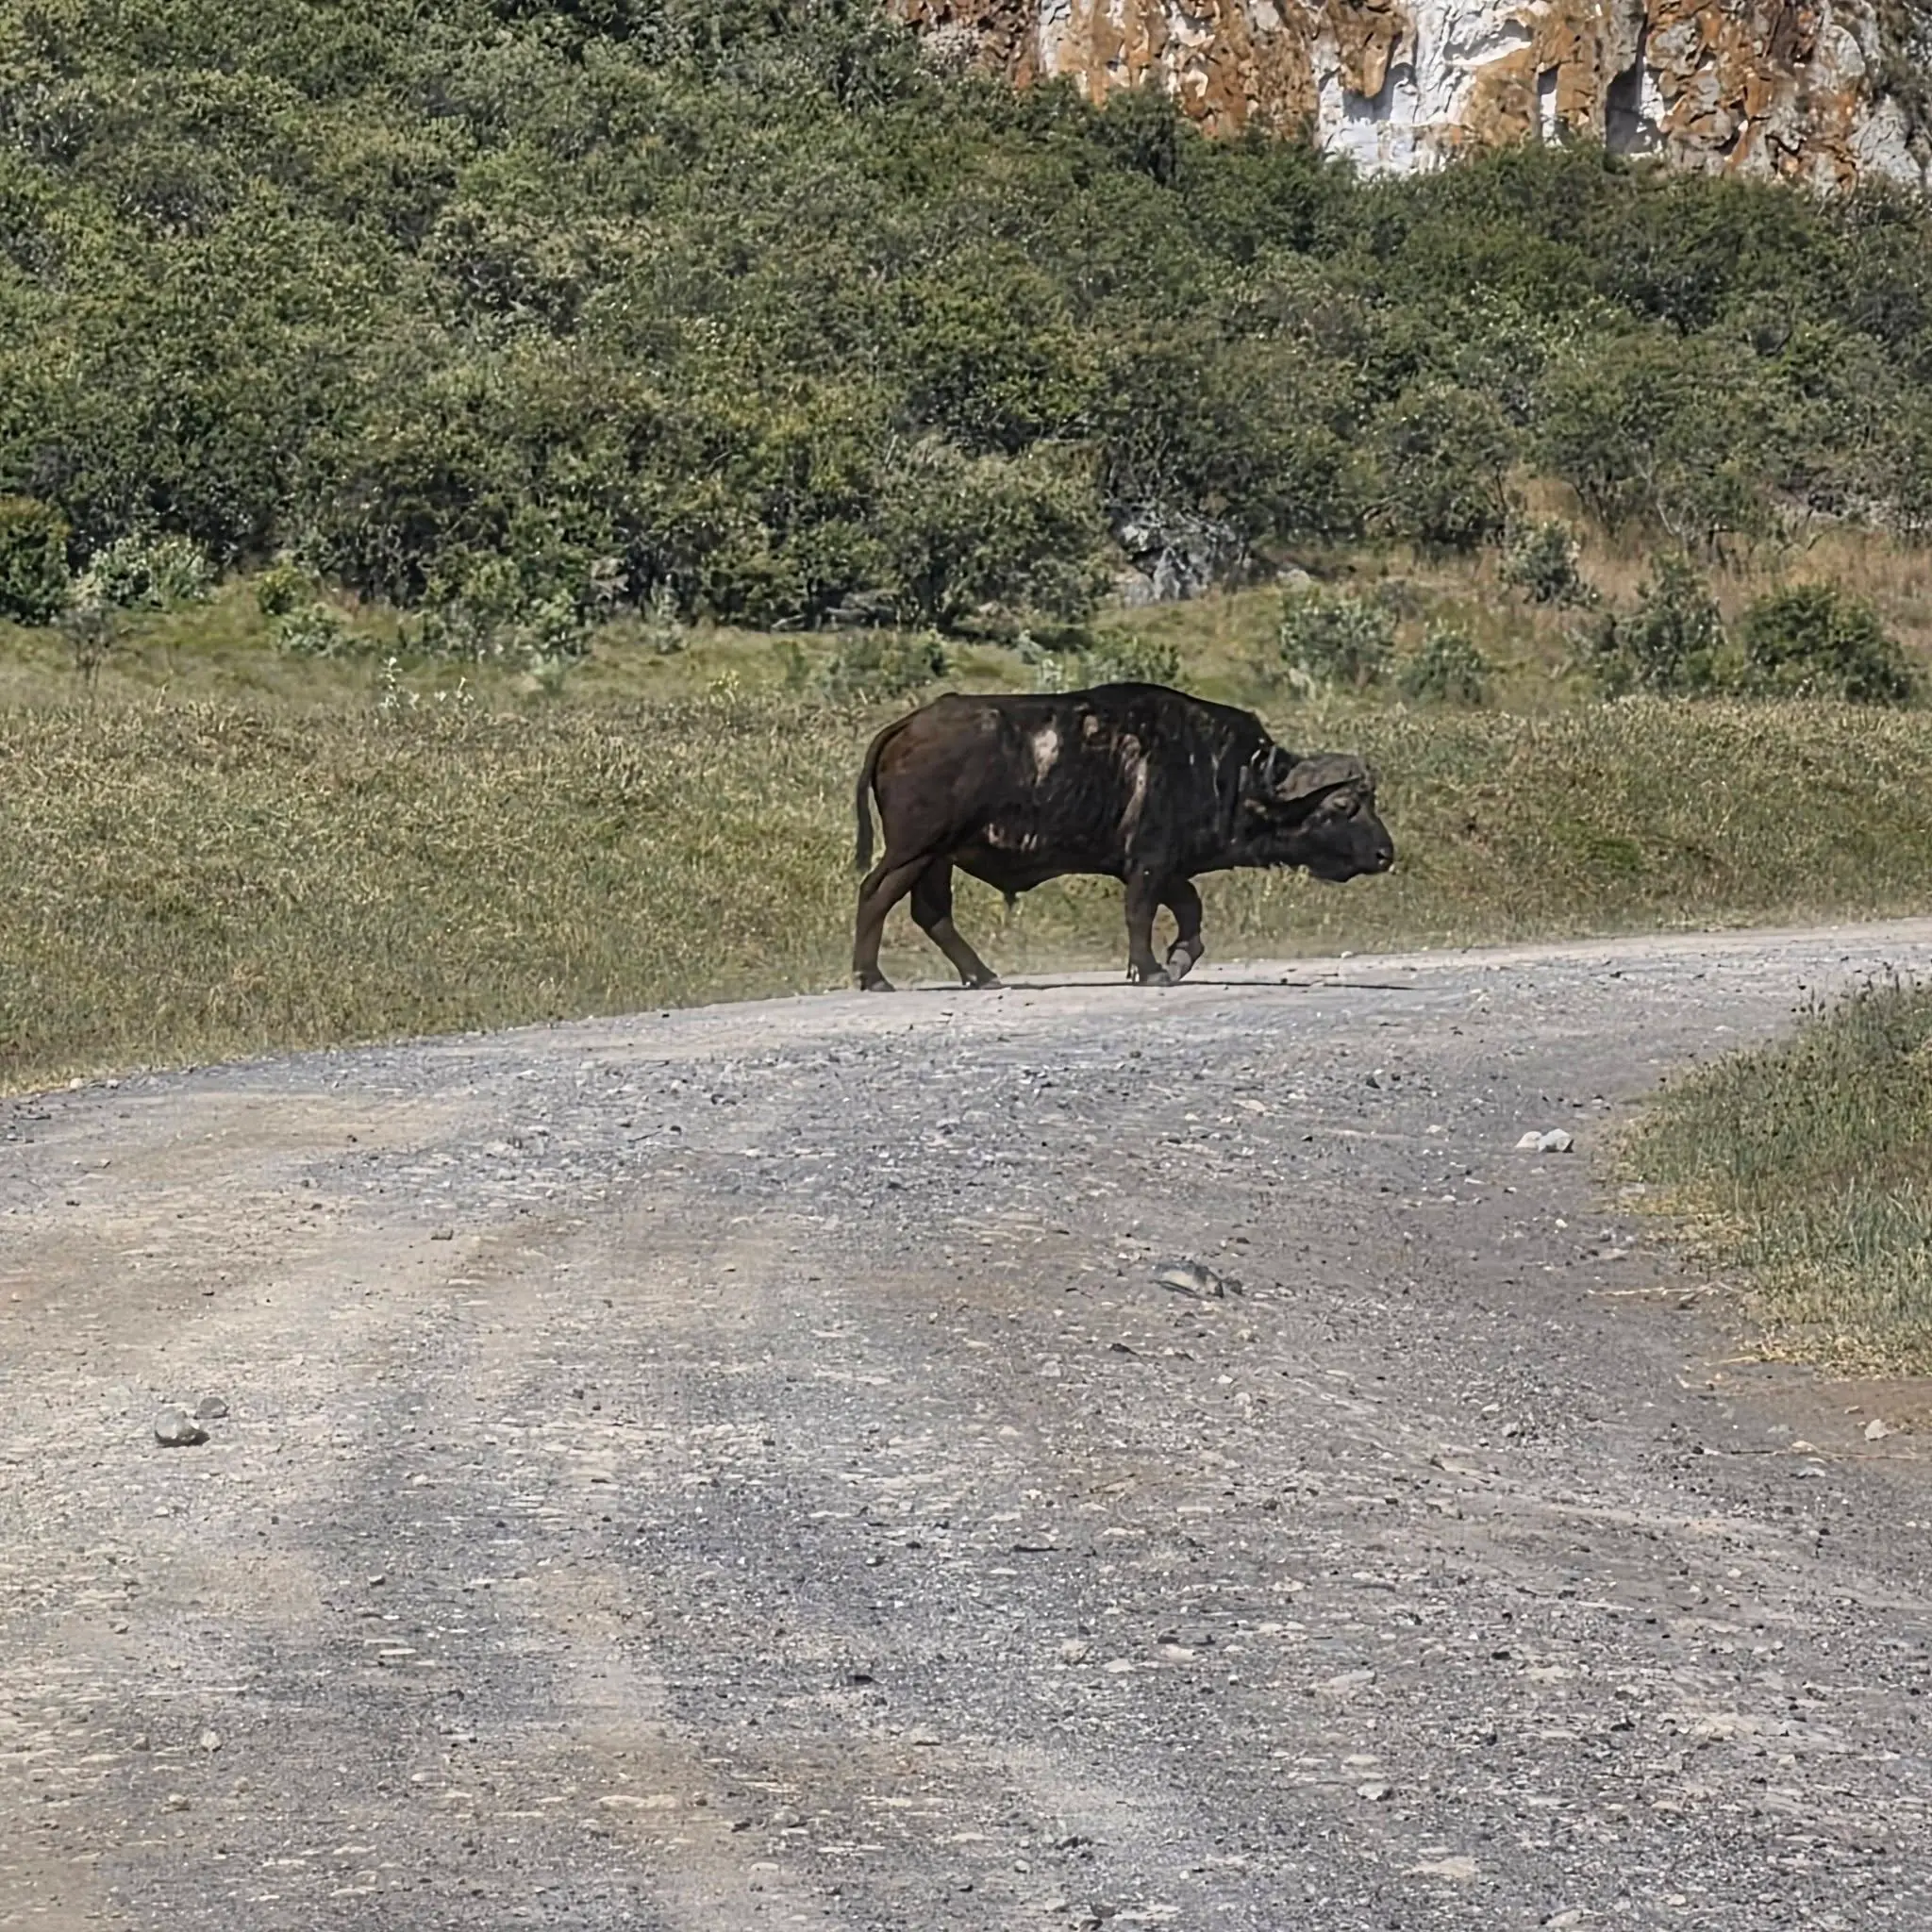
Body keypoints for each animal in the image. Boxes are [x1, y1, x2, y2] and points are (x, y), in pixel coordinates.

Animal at [851, 681, 1393, 991]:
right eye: (1344, 806)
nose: (1386, 854)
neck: (1230, 770)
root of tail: (906, 726)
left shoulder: (1168, 867)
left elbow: (1190, 911)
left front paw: (1178, 960)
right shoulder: (1149, 863)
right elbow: (1141, 914)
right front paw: (1149, 969)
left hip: (937, 858)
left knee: (931, 913)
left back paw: (981, 976)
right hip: (913, 850)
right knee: (875, 894)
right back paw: (872, 978)